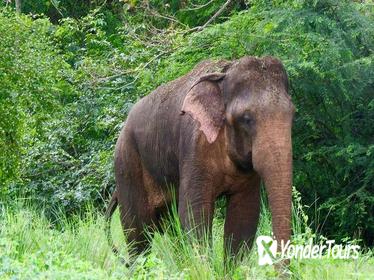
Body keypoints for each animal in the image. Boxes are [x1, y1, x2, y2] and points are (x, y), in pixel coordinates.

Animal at [105, 55, 296, 260]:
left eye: (293, 114)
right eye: (246, 118)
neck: (224, 75)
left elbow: (244, 215)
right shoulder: (194, 144)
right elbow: (194, 212)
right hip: (127, 163)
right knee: (138, 232)